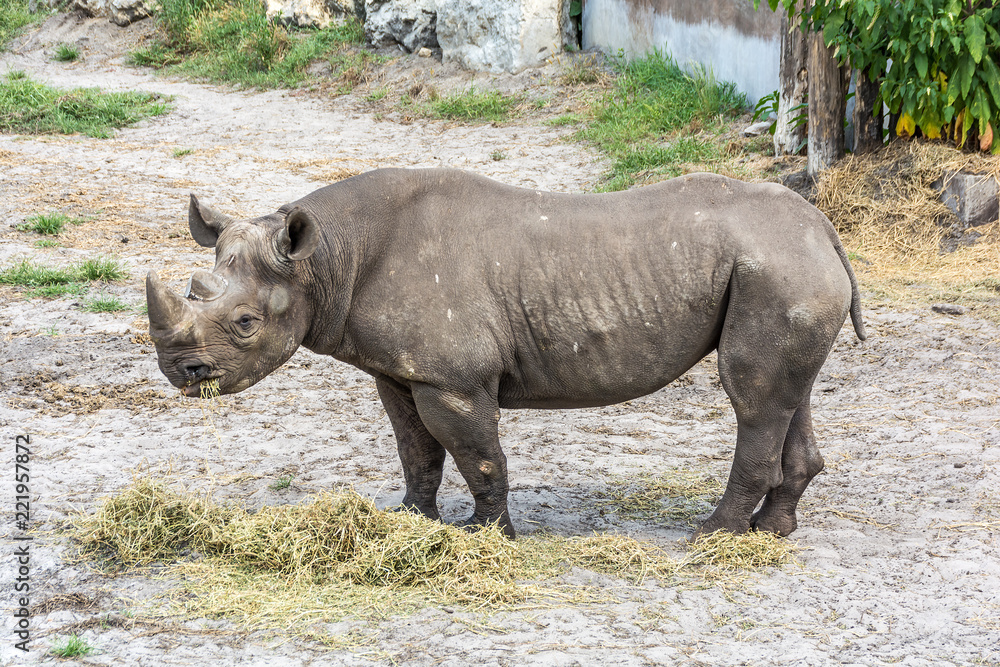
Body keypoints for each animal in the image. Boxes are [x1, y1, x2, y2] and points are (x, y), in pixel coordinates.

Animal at [146, 168, 866, 539]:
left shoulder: (452, 376)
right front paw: (412, 520)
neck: (326, 257)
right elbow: (415, 447)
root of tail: (824, 229)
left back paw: (711, 534)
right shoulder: (398, 370)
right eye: (194, 291)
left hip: (775, 267)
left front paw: (486, 535)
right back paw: (772, 531)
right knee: (785, 393)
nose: (183, 373)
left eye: (244, 323)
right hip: (781, 270)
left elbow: (478, 453)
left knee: (750, 393)